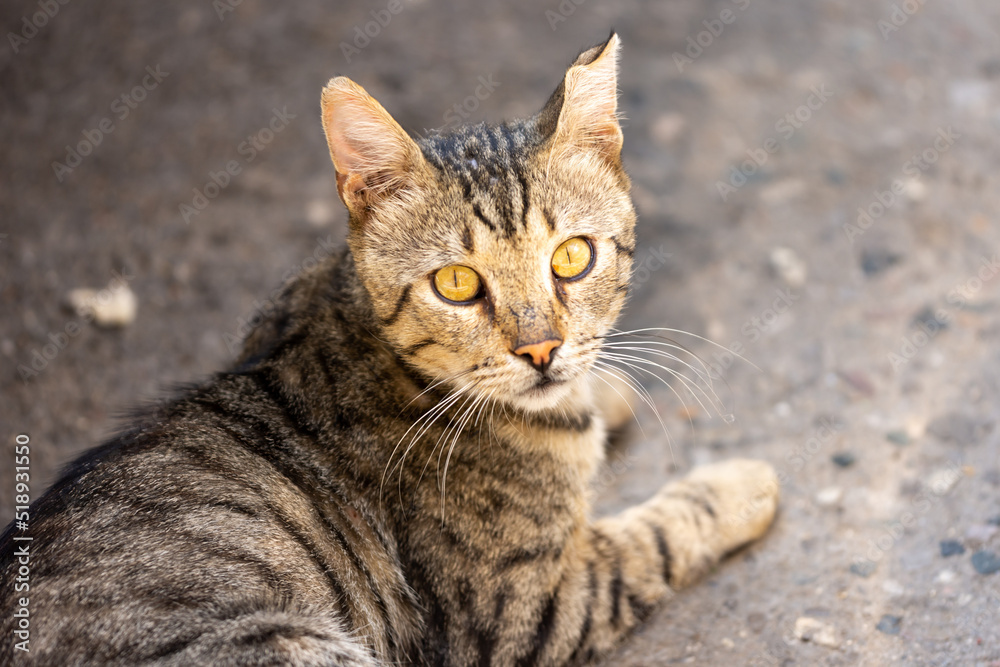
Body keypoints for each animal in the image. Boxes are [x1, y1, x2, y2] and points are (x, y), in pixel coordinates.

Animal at [1, 35, 780, 667]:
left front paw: (609, 386)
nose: (542, 349)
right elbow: (655, 536)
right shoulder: (532, 606)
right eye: (457, 283)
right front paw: (739, 485)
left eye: (573, 256)